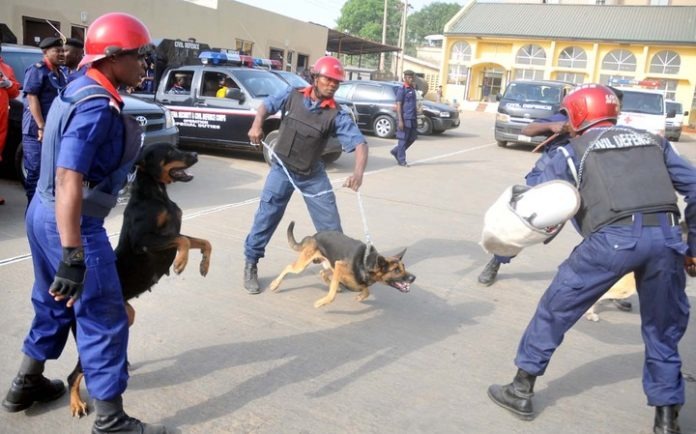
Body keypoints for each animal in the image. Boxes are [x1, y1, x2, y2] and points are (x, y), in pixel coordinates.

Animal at [67, 143, 211, 418]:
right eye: (170, 151)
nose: (196, 155)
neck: (156, 194)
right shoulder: (144, 240)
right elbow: (184, 242)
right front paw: (180, 263)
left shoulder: (172, 232)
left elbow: (202, 241)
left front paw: (203, 265)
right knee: (75, 375)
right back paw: (77, 403)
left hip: (127, 315)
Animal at [270, 222, 416, 306]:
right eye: (396, 270)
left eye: (403, 267)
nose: (413, 278)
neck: (365, 262)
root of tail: (314, 236)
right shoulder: (340, 265)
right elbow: (332, 293)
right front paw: (323, 301)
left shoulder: (346, 272)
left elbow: (366, 290)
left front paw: (360, 296)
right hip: (304, 265)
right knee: (289, 267)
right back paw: (275, 284)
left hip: (330, 263)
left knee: (322, 272)